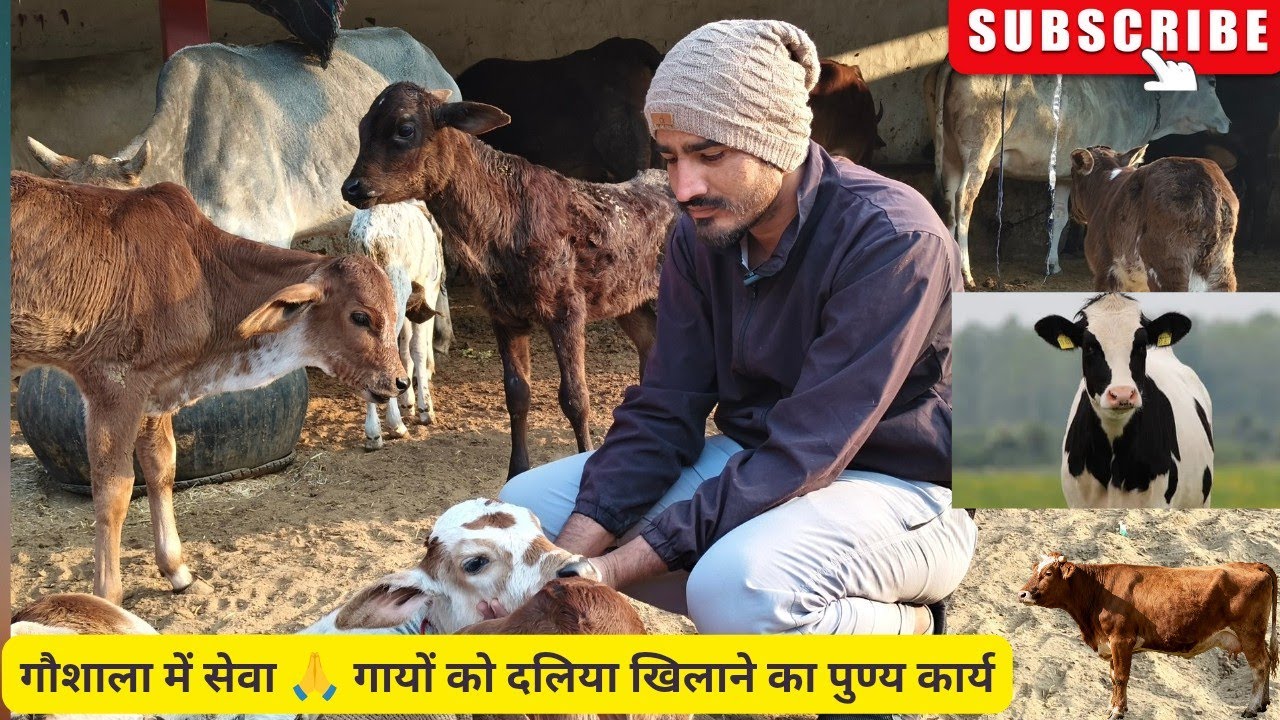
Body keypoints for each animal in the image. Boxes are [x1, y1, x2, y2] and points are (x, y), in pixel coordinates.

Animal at [10, 171, 407, 604]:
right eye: (360, 317)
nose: (400, 381)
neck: (202, 275)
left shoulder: (155, 390)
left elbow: (162, 468)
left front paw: (177, 570)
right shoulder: (112, 384)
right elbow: (114, 490)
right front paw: (106, 597)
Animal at [343, 83, 679, 480]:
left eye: (405, 129)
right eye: (362, 126)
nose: (351, 187)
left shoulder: (567, 308)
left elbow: (575, 398)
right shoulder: (503, 314)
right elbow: (517, 394)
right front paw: (516, 473)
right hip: (628, 298)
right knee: (650, 345)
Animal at [1019, 552, 1278, 719]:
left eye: (1048, 573)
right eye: (1034, 570)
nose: (1022, 593)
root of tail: (1254, 564)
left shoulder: (1121, 640)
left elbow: (1121, 677)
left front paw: (1117, 711)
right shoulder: (1111, 643)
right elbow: (1113, 677)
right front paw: (1112, 707)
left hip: (1249, 633)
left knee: (1260, 666)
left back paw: (1251, 708)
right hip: (1255, 635)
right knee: (1267, 662)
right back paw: (1264, 704)